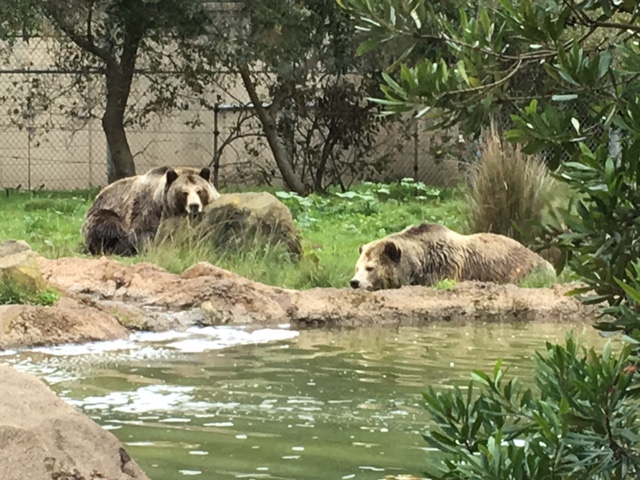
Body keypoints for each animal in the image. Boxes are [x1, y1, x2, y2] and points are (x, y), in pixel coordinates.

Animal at [82, 166, 220, 257]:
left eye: (199, 190)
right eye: (184, 192)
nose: (194, 205)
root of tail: (99, 195)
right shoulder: (146, 211)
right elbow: (142, 233)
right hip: (105, 212)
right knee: (109, 226)